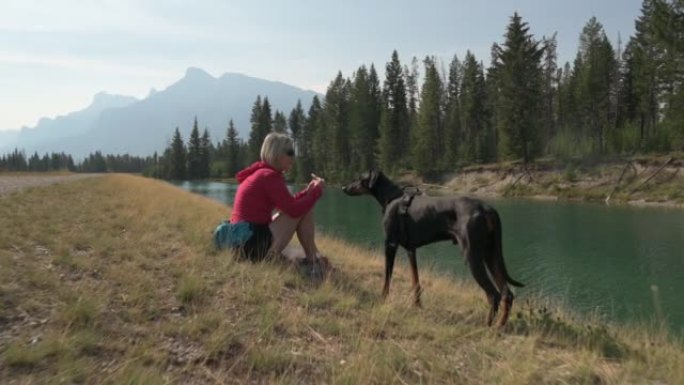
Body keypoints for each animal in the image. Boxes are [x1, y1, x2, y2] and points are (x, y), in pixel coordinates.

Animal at [342, 170, 524, 326]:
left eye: (360, 178)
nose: (344, 188)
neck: (391, 197)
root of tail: (488, 209)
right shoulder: (411, 249)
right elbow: (415, 280)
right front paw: (417, 305)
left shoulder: (390, 244)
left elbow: (387, 277)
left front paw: (383, 299)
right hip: (491, 254)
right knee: (507, 293)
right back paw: (499, 326)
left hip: (472, 255)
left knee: (493, 294)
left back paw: (487, 326)